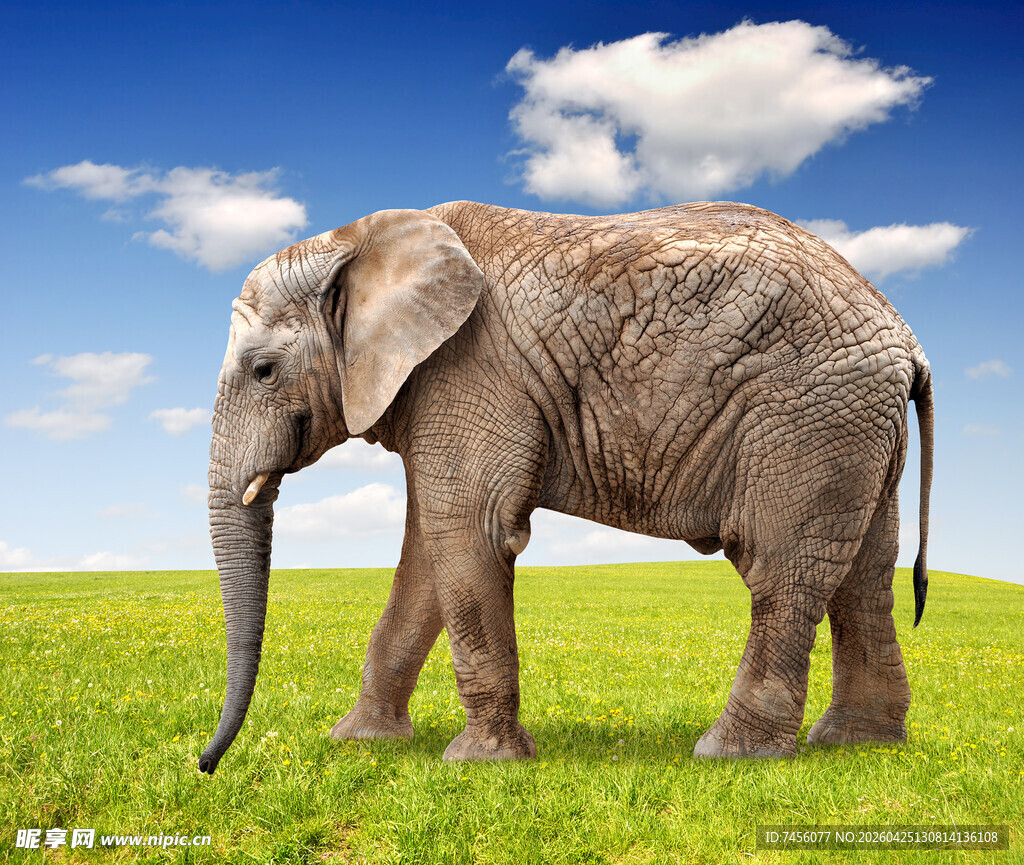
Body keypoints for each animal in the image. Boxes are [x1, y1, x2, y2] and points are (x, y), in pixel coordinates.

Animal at [198, 200, 933, 773]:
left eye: (264, 371)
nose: (206, 764)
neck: (355, 241)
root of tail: (905, 336)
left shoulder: (469, 369)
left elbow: (470, 531)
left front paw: (479, 763)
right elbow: (429, 554)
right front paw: (360, 743)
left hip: (807, 416)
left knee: (779, 569)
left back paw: (730, 754)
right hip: (854, 426)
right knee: (866, 575)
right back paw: (858, 744)